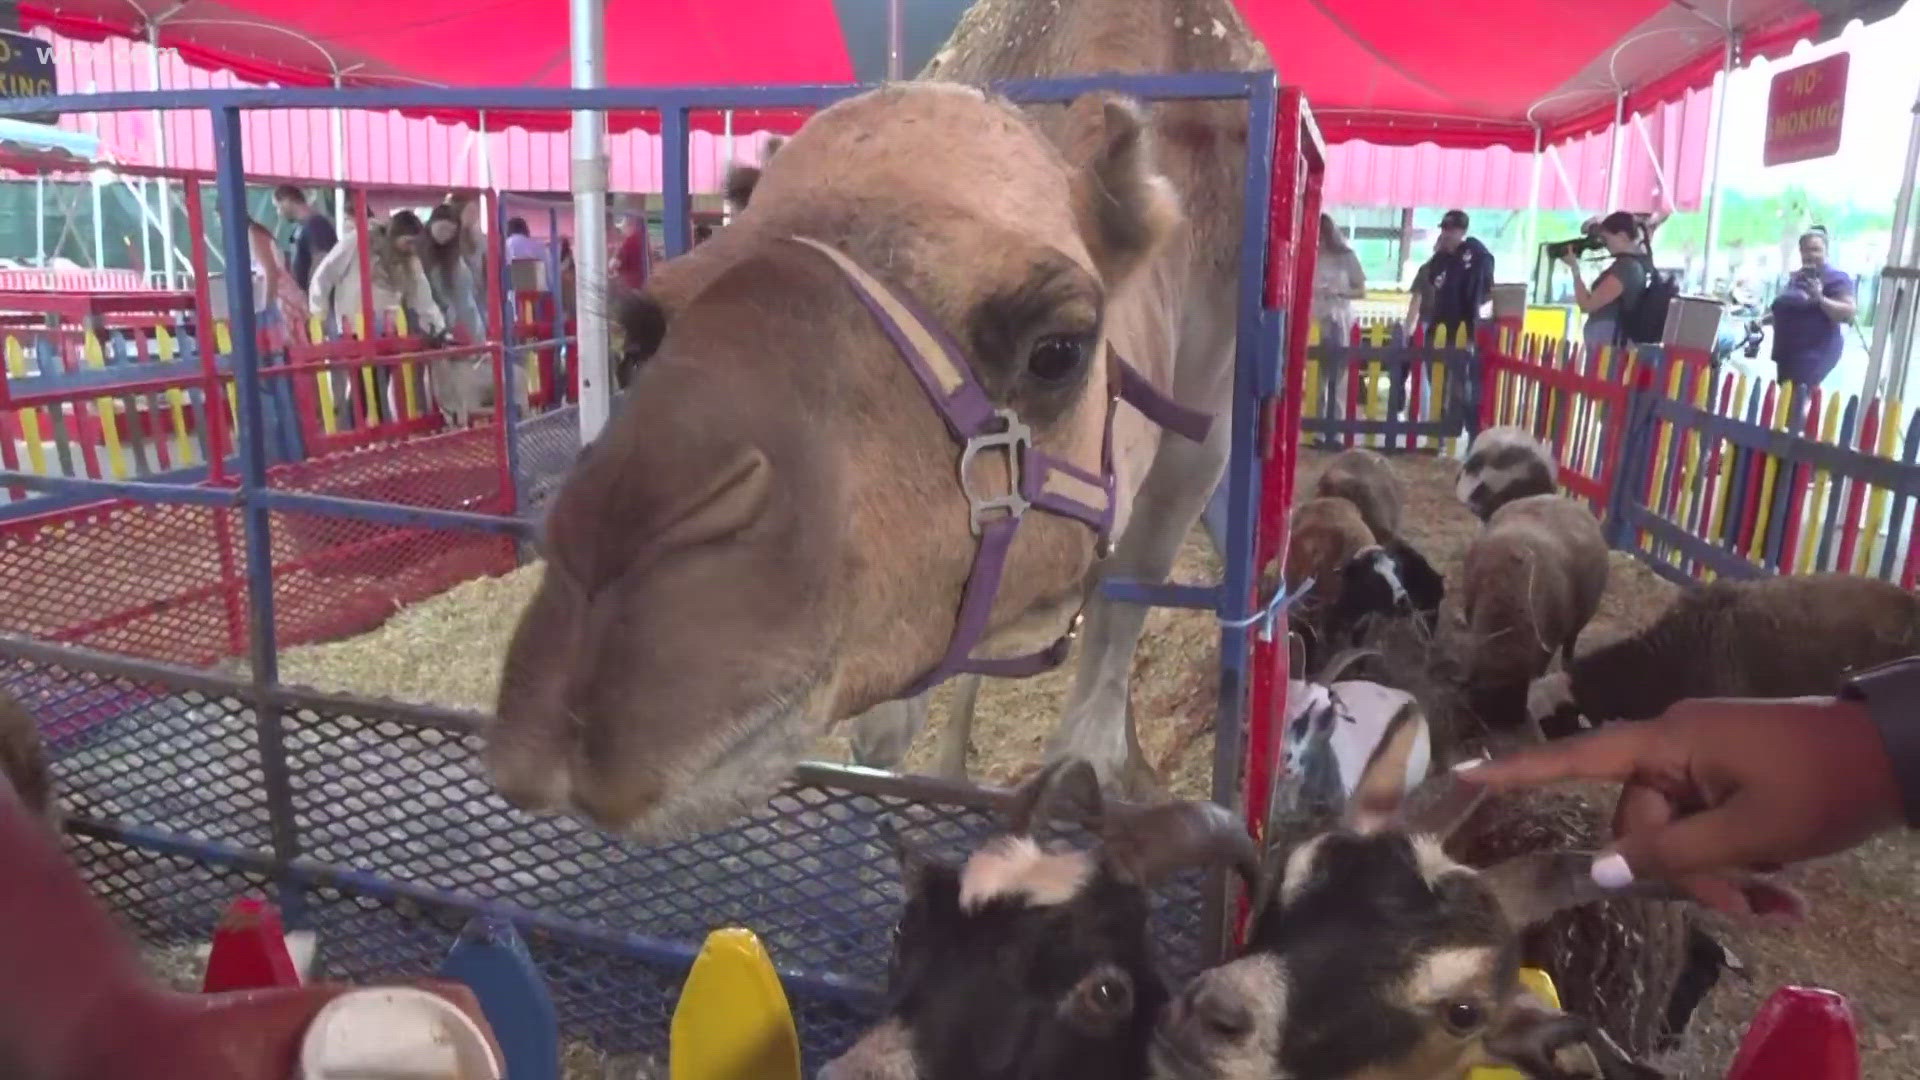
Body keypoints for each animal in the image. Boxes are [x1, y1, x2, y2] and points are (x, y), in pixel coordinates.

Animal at [491, 0, 1274, 834]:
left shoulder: (1204, 423)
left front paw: (1099, 769)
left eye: (1059, 348)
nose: (590, 665)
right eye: (638, 340)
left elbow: (1120, 601)